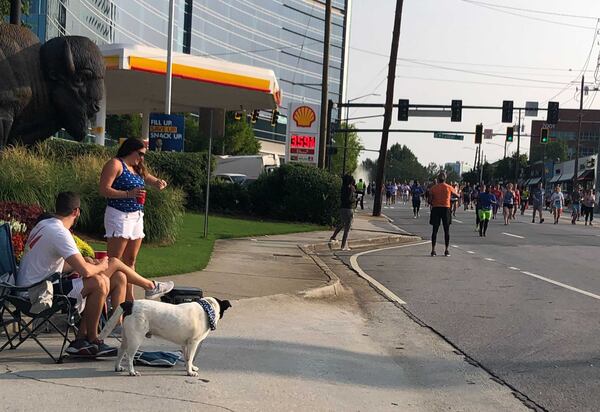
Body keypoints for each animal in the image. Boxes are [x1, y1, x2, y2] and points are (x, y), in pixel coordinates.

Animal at [98, 296, 232, 376]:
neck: (206, 310)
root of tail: (130, 303)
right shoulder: (193, 343)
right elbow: (190, 357)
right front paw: (190, 372)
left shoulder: (184, 344)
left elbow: (187, 358)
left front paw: (190, 368)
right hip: (136, 339)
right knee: (129, 356)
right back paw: (132, 371)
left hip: (126, 337)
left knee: (121, 351)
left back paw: (118, 367)